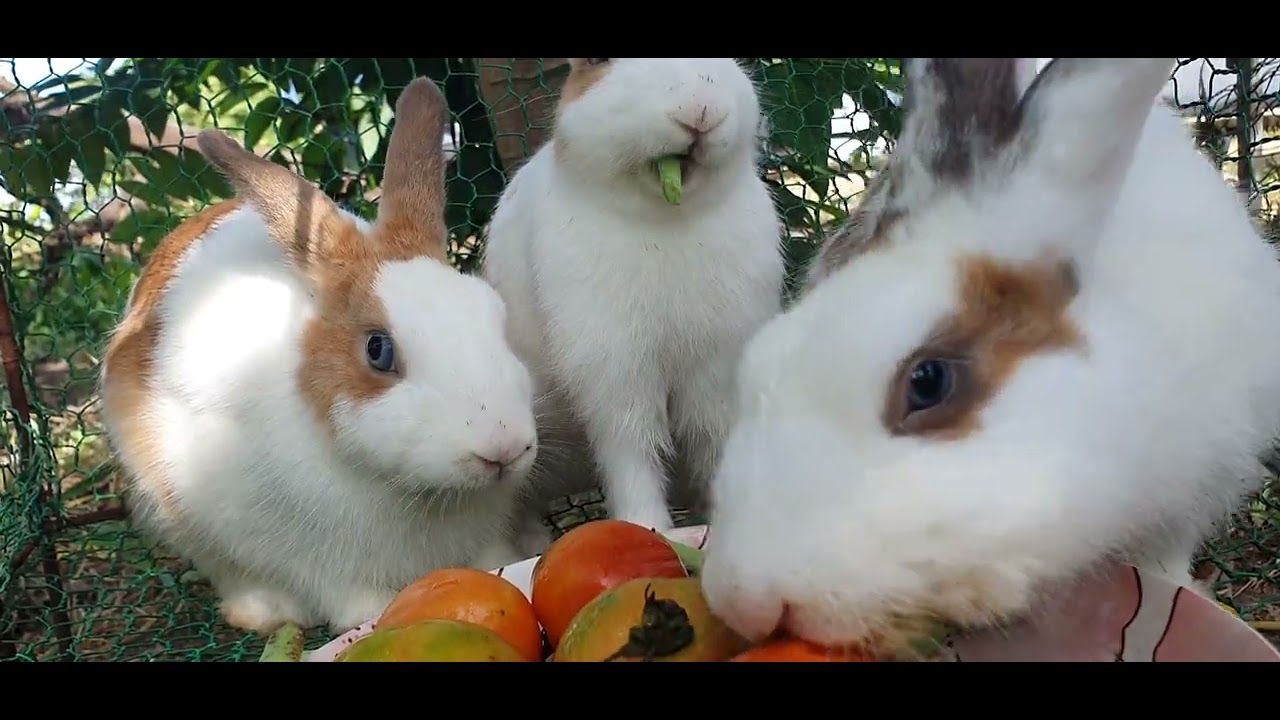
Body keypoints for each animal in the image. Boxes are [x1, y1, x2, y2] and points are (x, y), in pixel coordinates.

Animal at [97, 77, 540, 635]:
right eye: (378, 350)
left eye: (495, 316)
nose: (503, 448)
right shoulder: (306, 555)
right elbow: (346, 594)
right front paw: (369, 615)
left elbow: (494, 559)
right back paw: (263, 612)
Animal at [481, 57, 786, 543]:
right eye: (597, 62)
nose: (701, 110)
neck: (667, 221)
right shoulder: (616, 373)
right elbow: (632, 450)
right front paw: (647, 527)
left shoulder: (716, 367)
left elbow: (712, 439)